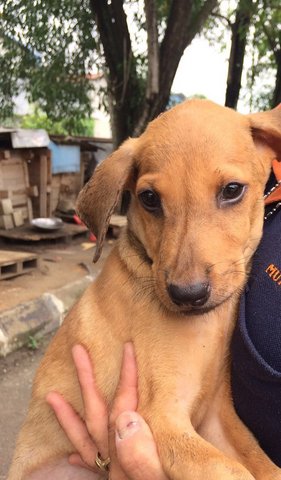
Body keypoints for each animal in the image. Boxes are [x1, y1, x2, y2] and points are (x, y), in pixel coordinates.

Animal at [7, 99, 280, 478]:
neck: (206, 325)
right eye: (149, 198)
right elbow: (232, 471)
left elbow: (261, 464)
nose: (187, 294)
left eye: (232, 190)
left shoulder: (218, 417)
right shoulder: (161, 416)